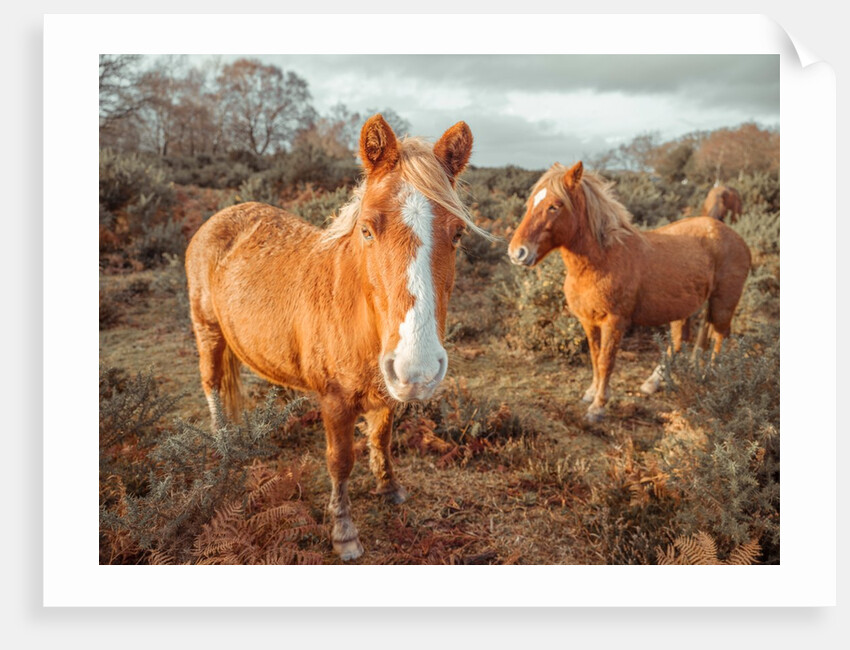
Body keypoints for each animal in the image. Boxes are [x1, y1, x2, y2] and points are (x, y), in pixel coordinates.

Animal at [185, 114, 487, 560]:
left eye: (458, 234)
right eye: (367, 230)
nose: (417, 369)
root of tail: (221, 216)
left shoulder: (386, 392)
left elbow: (381, 439)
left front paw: (390, 489)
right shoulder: (334, 401)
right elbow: (340, 461)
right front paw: (344, 532)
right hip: (207, 330)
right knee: (211, 385)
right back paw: (223, 443)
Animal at [508, 161, 751, 423]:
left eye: (554, 206)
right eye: (530, 203)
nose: (517, 252)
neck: (602, 260)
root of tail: (736, 237)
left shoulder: (614, 322)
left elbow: (606, 361)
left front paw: (598, 406)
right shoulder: (588, 321)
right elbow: (594, 357)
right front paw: (591, 393)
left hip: (723, 303)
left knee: (719, 337)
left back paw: (712, 378)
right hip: (685, 308)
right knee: (681, 340)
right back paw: (654, 381)